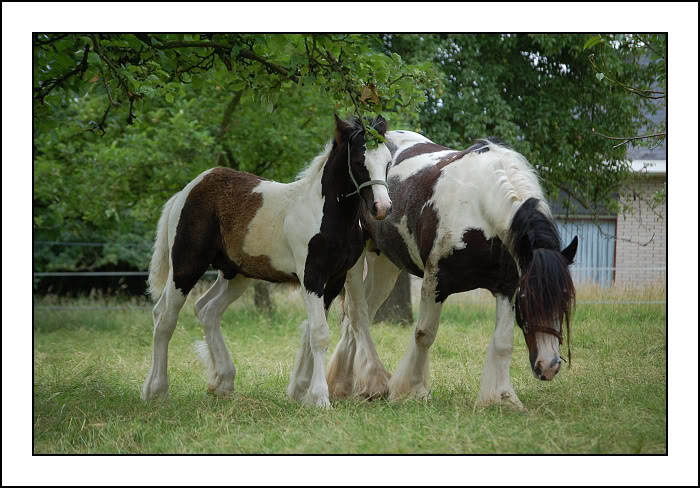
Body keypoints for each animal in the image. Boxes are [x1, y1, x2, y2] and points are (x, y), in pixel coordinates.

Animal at [141, 114, 394, 408]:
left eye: (388, 161)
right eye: (358, 162)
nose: (382, 208)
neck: (325, 214)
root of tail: (186, 191)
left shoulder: (334, 281)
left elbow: (312, 331)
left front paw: (304, 394)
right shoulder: (312, 277)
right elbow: (319, 333)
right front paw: (320, 398)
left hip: (235, 274)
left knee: (207, 310)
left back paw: (223, 381)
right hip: (186, 265)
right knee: (165, 316)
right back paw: (157, 389)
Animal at [326, 130, 576, 408]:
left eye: (565, 302)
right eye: (528, 300)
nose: (549, 366)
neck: (480, 208)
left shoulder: (507, 287)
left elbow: (503, 342)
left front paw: (503, 398)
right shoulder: (436, 282)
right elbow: (424, 334)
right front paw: (412, 390)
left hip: (385, 265)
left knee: (361, 316)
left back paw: (349, 383)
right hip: (356, 263)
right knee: (358, 314)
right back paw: (370, 382)